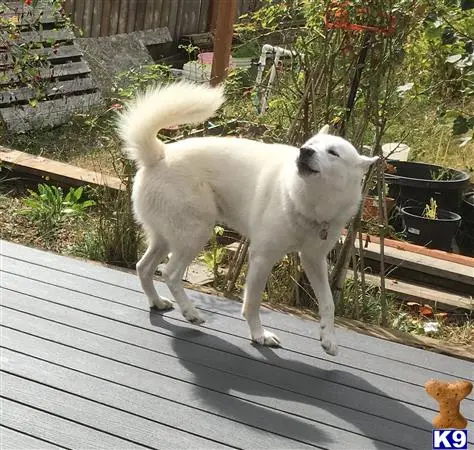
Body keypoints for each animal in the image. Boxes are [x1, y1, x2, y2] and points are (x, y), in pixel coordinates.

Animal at [116, 81, 376, 356]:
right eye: (311, 143)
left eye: (333, 153)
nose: (305, 151)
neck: (309, 201)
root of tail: (159, 153)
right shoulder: (262, 257)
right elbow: (252, 301)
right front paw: (259, 335)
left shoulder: (313, 260)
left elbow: (328, 303)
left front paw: (329, 339)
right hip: (196, 233)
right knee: (170, 273)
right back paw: (190, 312)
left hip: (166, 238)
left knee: (143, 267)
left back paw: (156, 302)